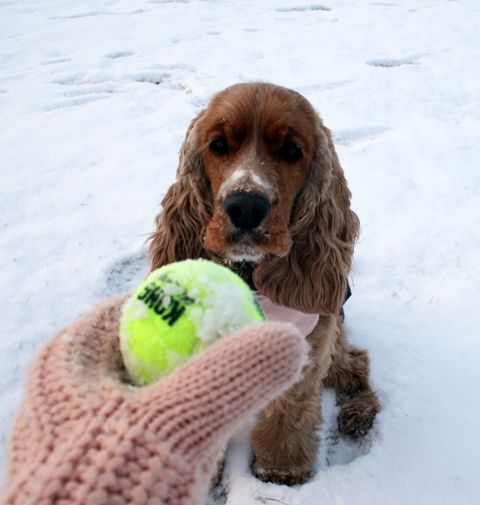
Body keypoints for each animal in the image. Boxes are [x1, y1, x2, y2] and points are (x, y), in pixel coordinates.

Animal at [149, 82, 379, 485]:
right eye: (218, 145)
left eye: (291, 151)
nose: (245, 206)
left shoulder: (307, 342)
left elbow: (290, 409)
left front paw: (280, 469)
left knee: (356, 363)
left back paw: (358, 413)